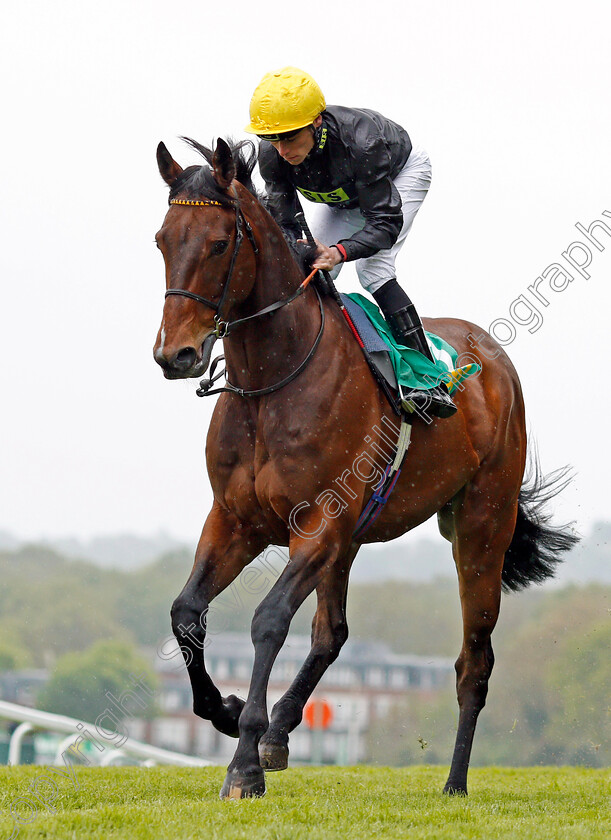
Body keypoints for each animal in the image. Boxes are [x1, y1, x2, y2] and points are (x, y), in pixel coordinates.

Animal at [153, 138, 580, 800]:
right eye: (162, 240)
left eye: (220, 243)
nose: (176, 355)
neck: (273, 382)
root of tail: (492, 357)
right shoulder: (235, 520)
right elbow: (186, 614)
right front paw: (225, 712)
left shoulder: (320, 524)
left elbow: (268, 620)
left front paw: (244, 763)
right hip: (354, 540)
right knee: (333, 633)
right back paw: (282, 730)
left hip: (482, 525)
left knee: (475, 660)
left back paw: (455, 782)